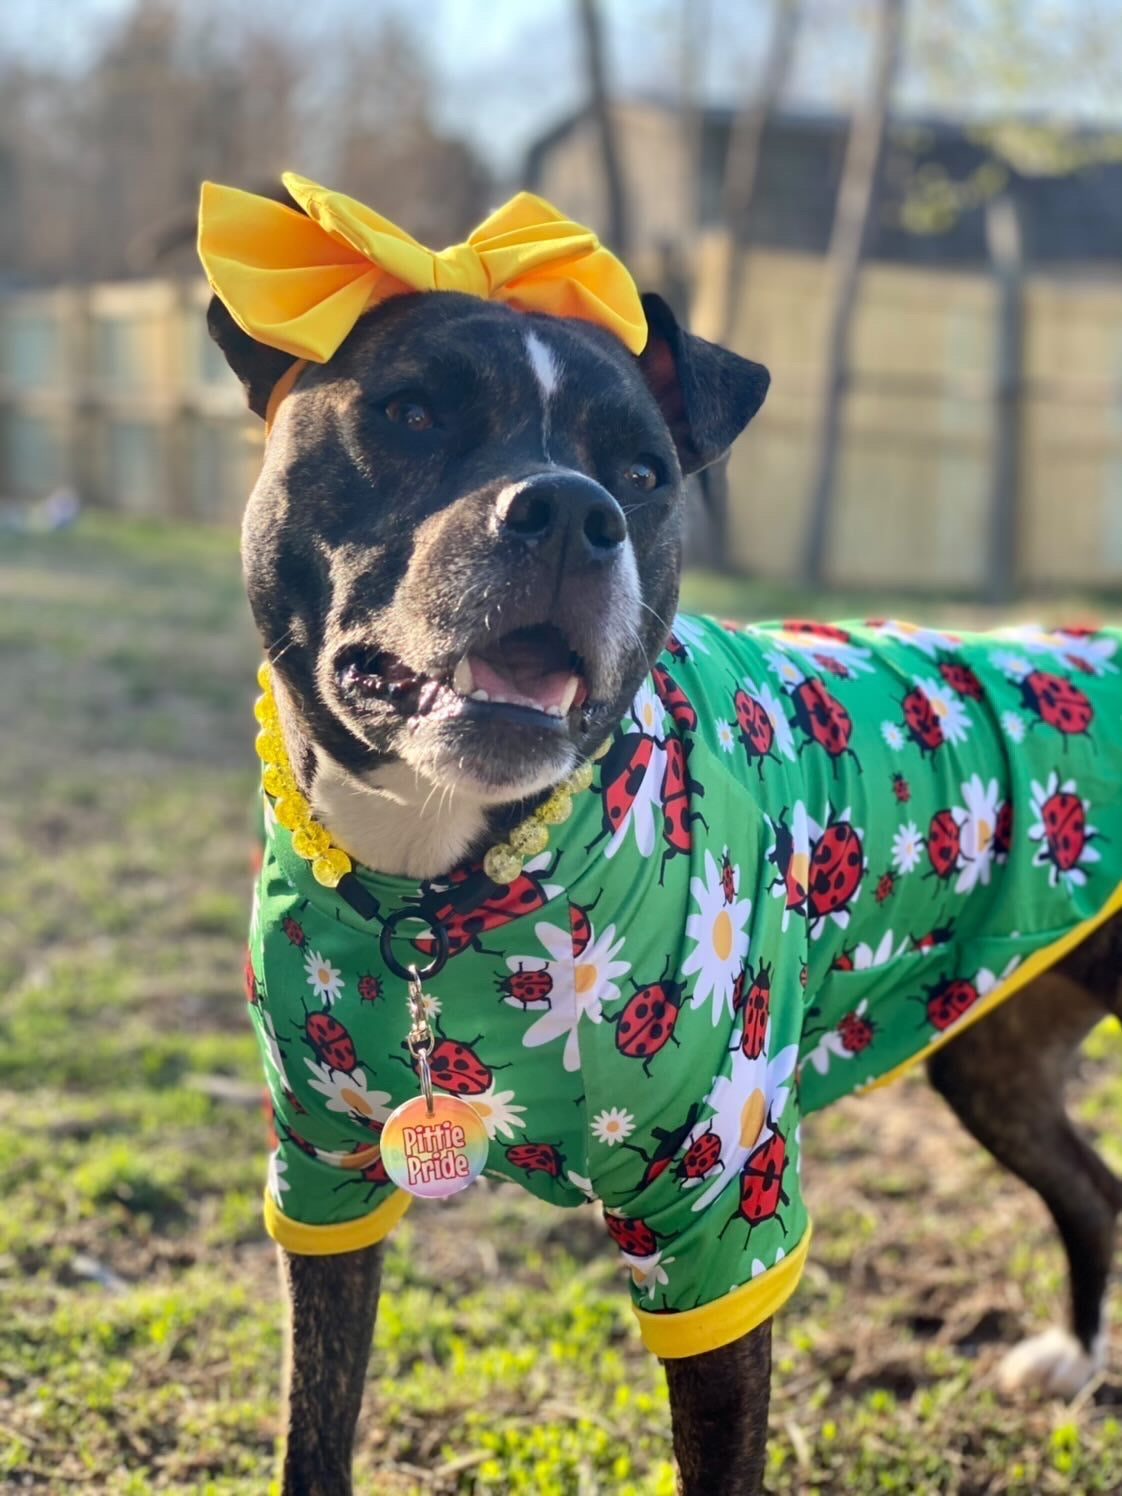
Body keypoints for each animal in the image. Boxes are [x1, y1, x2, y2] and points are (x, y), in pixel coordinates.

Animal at [201, 178, 1122, 1496]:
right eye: (411, 411)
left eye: (640, 470)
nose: (571, 511)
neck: (448, 888)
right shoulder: (322, 1171)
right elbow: (312, 1429)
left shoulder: (722, 1219)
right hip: (992, 1051)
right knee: (1092, 1188)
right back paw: (1073, 1355)